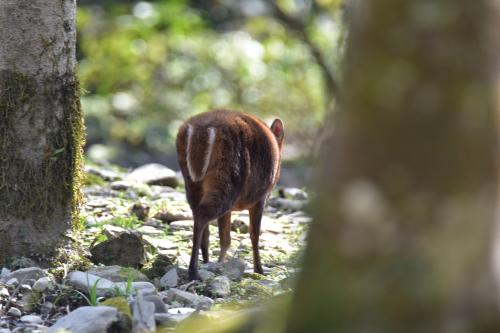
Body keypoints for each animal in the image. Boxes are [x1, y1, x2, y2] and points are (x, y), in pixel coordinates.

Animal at [177, 109, 286, 280]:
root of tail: (202, 131)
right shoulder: (260, 199)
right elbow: (254, 234)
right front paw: (259, 270)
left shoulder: (231, 209)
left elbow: (225, 238)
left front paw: (220, 264)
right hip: (229, 175)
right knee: (203, 214)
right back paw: (194, 271)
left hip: (192, 180)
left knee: (198, 216)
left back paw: (205, 263)